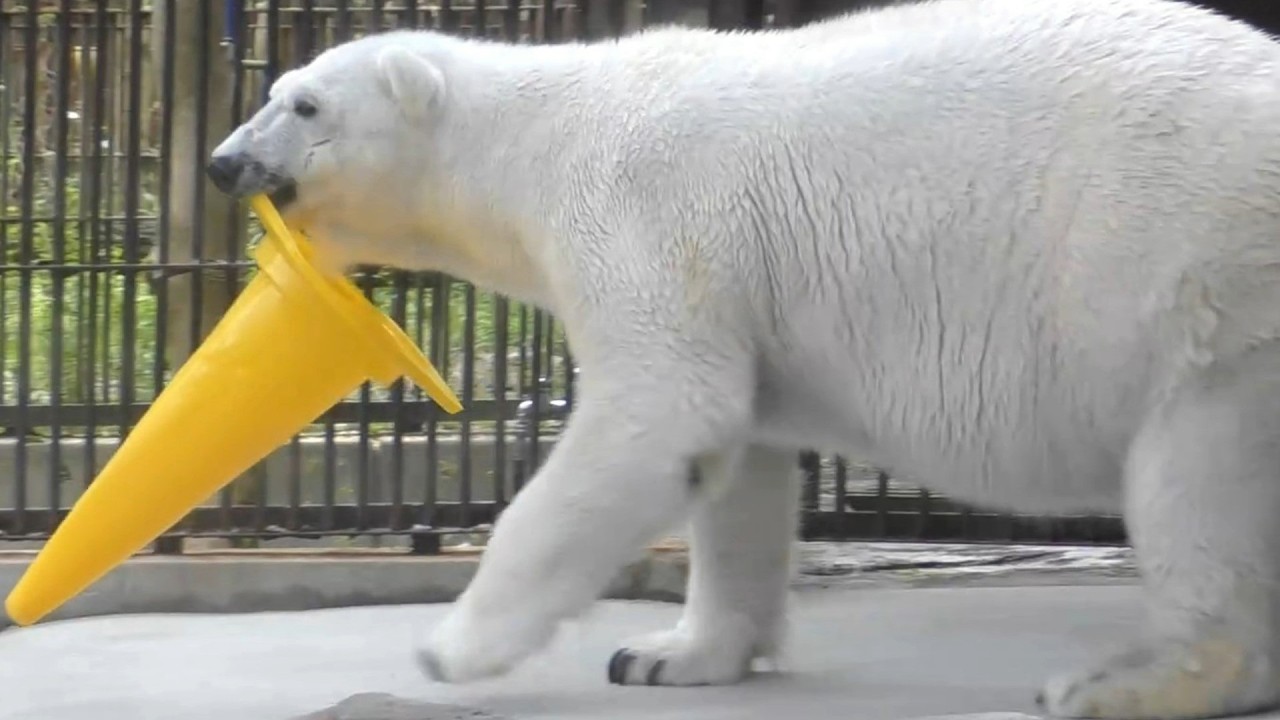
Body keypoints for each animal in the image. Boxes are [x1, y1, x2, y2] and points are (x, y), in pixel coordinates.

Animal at [206, 0, 1280, 717]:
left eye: (304, 105)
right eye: (270, 92)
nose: (223, 161)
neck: (534, 141)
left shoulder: (645, 222)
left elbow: (658, 415)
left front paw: (448, 649)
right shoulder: (741, 289)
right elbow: (741, 470)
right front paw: (665, 655)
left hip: (1207, 288)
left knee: (1197, 482)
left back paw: (1125, 681)